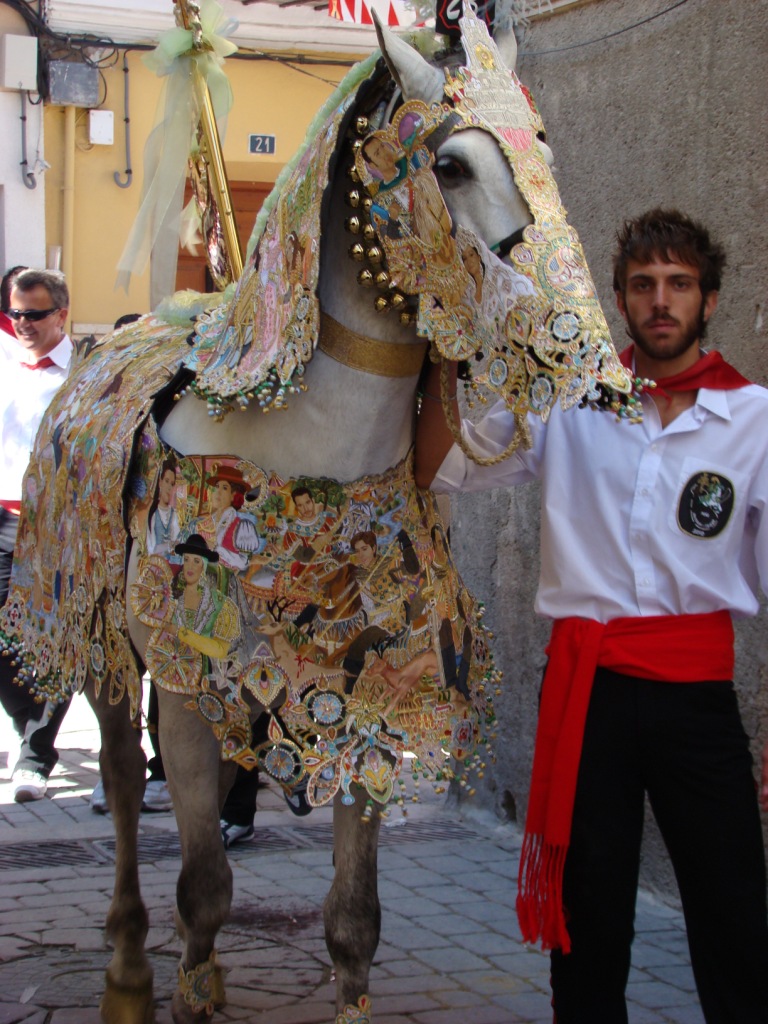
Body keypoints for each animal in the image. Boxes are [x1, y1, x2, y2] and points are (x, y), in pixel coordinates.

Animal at [3, 9, 634, 1024]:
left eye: (544, 147)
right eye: (449, 164)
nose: (591, 368)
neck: (308, 457)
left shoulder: (368, 700)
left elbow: (353, 919)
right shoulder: (187, 690)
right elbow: (203, 888)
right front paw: (186, 988)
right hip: (105, 650)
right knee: (122, 782)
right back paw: (131, 966)